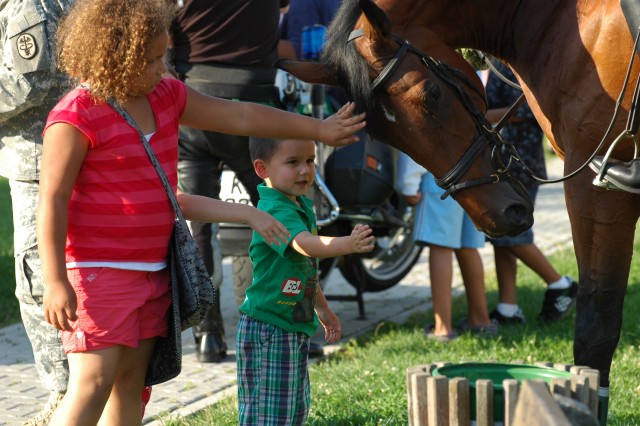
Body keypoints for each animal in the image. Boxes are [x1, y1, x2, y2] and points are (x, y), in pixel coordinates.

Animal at [282, 0, 640, 402]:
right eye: (380, 132)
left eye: (431, 95)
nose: (503, 215)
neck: (557, 23)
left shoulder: (595, 188)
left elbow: (596, 328)